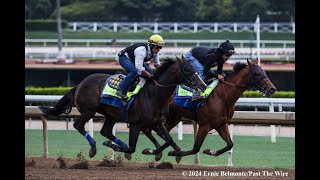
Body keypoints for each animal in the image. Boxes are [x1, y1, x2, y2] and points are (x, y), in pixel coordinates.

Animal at [40, 56, 206, 160]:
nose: (202, 84)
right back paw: (93, 148)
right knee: (78, 125)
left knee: (105, 131)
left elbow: (170, 140)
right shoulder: (135, 125)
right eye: (187, 69)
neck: (153, 94)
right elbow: (132, 148)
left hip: (111, 115)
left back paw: (113, 143)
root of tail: (80, 84)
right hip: (89, 111)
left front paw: (154, 151)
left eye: (194, 67)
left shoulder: (157, 123)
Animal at [141, 59, 276, 159]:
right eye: (257, 73)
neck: (223, 97)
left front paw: (210, 151)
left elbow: (230, 144)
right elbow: (195, 148)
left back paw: (156, 151)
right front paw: (175, 153)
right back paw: (156, 151)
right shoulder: (204, 125)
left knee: (156, 131)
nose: (272, 89)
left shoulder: (221, 124)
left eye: (264, 72)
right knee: (150, 130)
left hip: (174, 117)